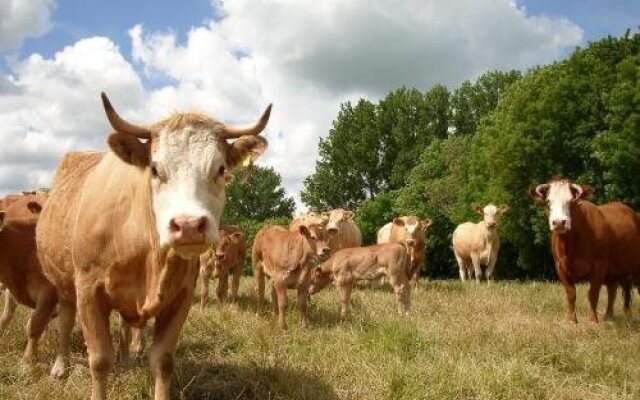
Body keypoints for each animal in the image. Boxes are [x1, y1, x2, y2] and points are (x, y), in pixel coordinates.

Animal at [35, 93, 270, 400]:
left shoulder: (182, 295)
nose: (189, 225)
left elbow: (162, 360)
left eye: (220, 169)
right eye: (156, 169)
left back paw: (125, 359)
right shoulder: (88, 291)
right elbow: (99, 360)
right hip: (62, 285)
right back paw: (60, 366)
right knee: (64, 321)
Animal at [532, 180, 640, 324]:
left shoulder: (599, 266)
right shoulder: (560, 267)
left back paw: (627, 317)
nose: (559, 223)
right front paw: (571, 320)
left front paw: (593, 320)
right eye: (548, 201)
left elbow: (593, 294)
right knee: (612, 291)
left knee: (626, 294)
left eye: (571, 201)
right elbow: (571, 294)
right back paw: (608, 316)